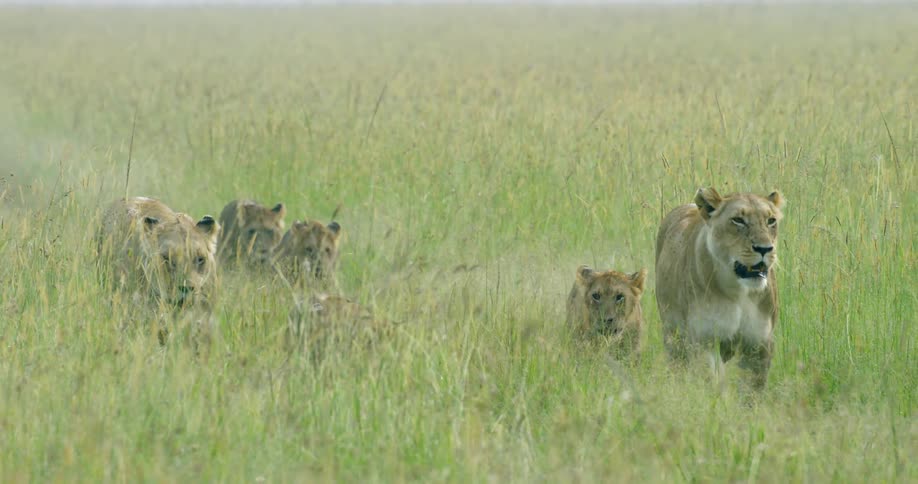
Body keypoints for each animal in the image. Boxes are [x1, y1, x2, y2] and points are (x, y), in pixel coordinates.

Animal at [655, 187, 784, 389]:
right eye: (738, 220)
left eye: (771, 220)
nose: (765, 249)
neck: (739, 292)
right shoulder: (704, 340)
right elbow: (710, 380)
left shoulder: (760, 343)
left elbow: (752, 388)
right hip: (673, 334)